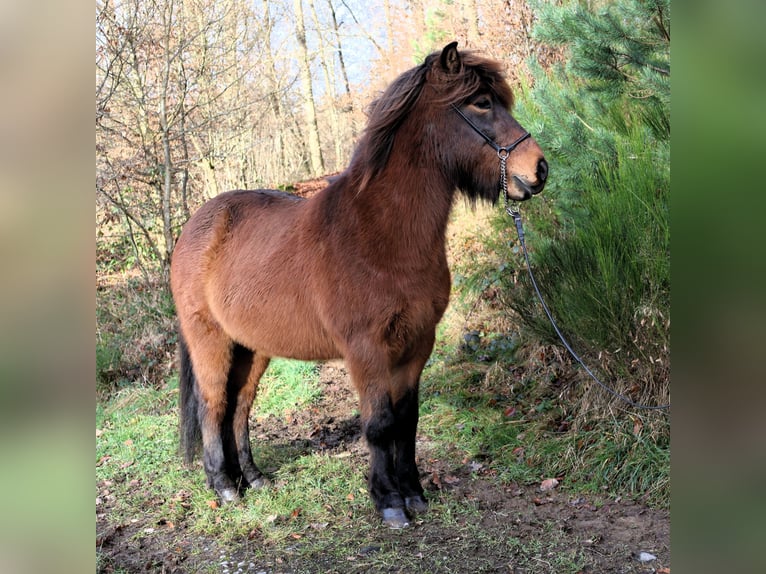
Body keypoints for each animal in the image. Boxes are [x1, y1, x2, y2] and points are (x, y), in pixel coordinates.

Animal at [170, 42, 548, 529]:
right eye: (481, 103)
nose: (539, 169)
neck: (380, 235)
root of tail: (195, 226)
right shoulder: (366, 350)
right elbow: (379, 424)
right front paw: (388, 501)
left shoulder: (416, 344)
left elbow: (407, 420)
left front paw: (414, 493)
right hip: (211, 342)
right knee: (213, 405)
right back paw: (223, 485)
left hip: (252, 348)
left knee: (240, 406)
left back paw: (252, 478)